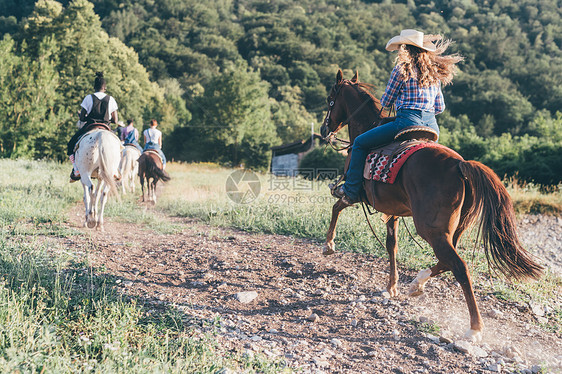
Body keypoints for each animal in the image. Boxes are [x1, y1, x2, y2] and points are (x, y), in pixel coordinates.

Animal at [320, 70, 544, 342]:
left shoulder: (356, 195)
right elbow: (392, 245)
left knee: (459, 266)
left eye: (331, 99)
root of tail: (459, 165)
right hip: (451, 230)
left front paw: (329, 245)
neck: (367, 126)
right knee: (447, 262)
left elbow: (337, 206)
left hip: (431, 230)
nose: (323, 129)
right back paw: (418, 283)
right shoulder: (394, 210)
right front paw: (392, 286)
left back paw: (474, 328)